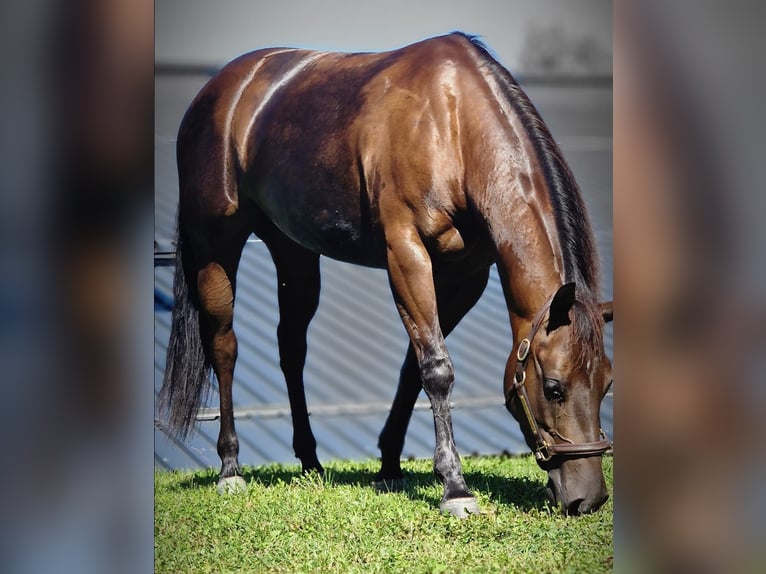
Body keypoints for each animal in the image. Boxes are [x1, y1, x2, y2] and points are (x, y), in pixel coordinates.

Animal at [159, 32, 613, 517]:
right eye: (553, 387)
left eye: (606, 384)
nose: (588, 498)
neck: (451, 125)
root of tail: (218, 91)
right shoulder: (406, 254)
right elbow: (436, 368)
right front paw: (455, 487)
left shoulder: (463, 277)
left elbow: (414, 369)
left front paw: (391, 465)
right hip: (215, 247)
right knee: (224, 347)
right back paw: (231, 467)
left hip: (293, 251)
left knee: (291, 348)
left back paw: (311, 463)